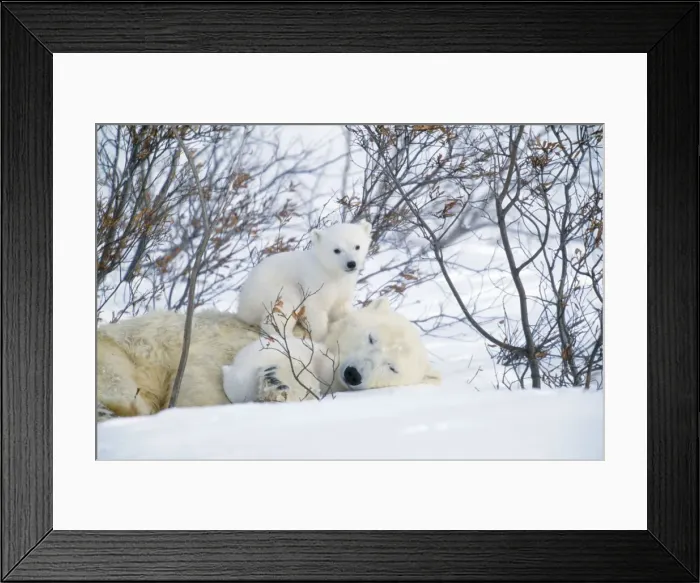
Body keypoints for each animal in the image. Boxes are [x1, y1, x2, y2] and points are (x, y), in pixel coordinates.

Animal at [235, 219, 372, 343]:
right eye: (337, 250)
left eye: (357, 246)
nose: (351, 264)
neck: (330, 272)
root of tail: (241, 306)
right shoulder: (315, 283)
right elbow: (315, 309)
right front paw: (319, 338)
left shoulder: (344, 287)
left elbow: (341, 308)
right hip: (269, 292)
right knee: (284, 307)